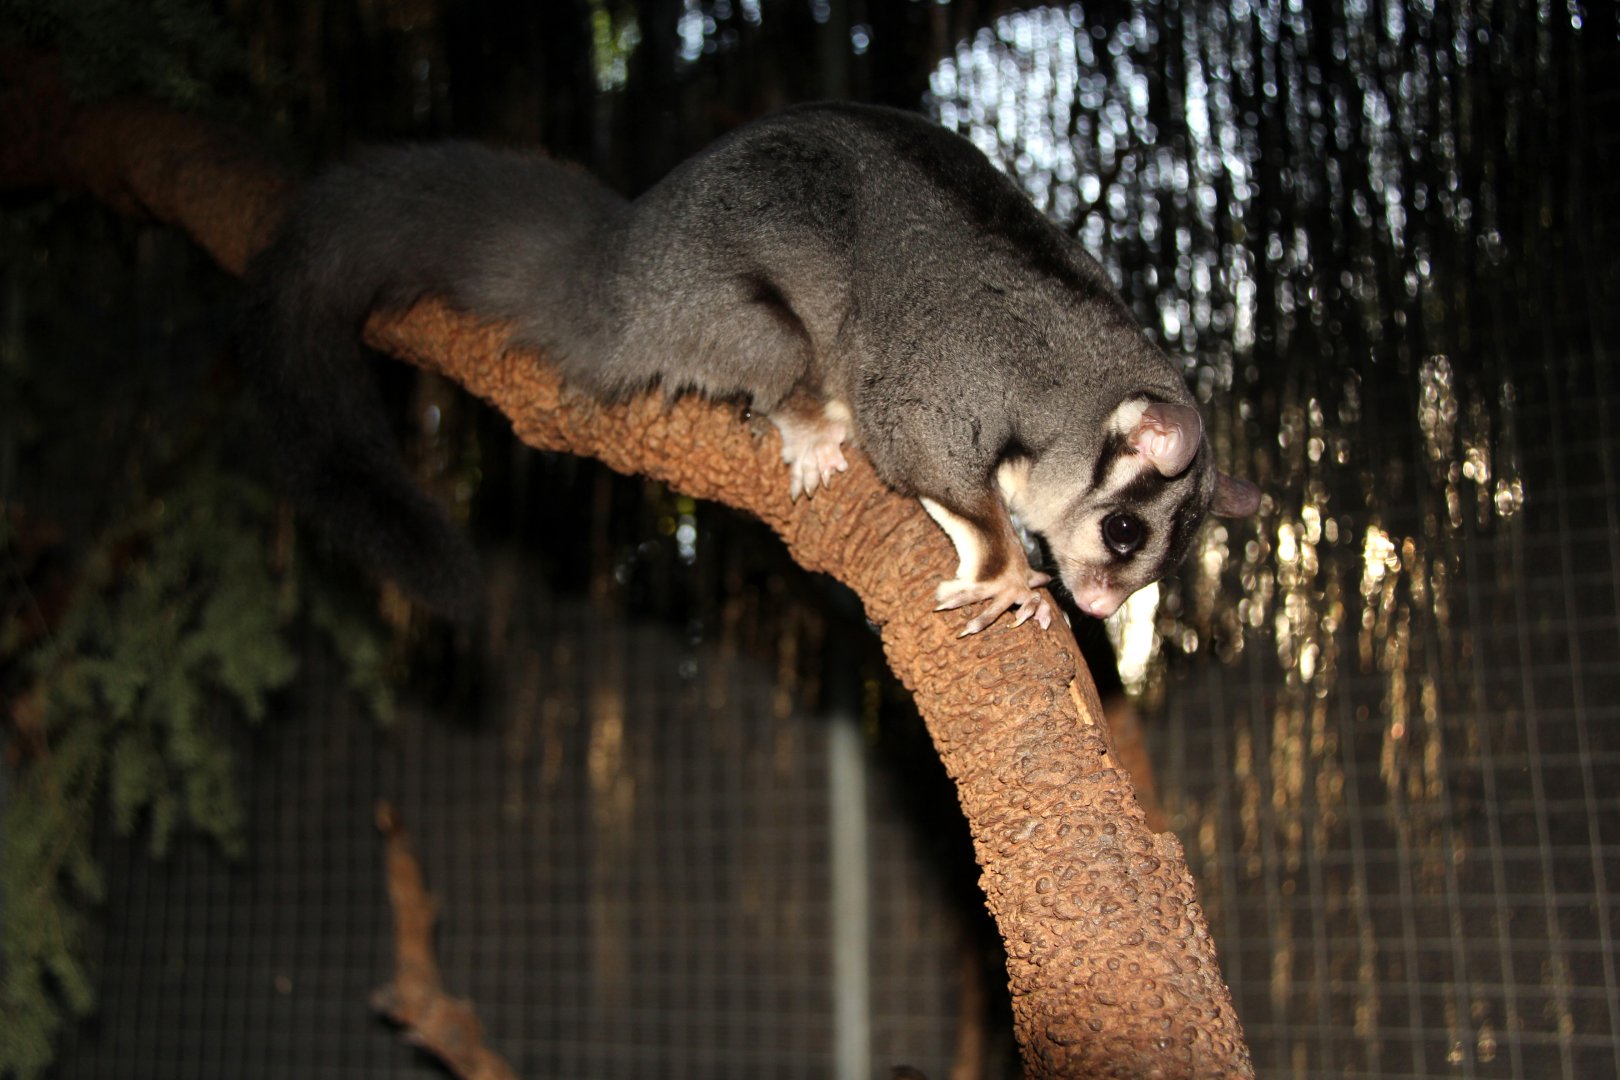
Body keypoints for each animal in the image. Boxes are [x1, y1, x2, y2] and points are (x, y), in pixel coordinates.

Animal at [243, 102, 1260, 633]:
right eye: (1123, 533)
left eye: (1152, 569)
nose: (1098, 606)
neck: (1073, 394)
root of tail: (616, 258)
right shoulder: (953, 392)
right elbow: (928, 461)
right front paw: (1011, 571)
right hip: (695, 309)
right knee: (777, 350)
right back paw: (811, 422)